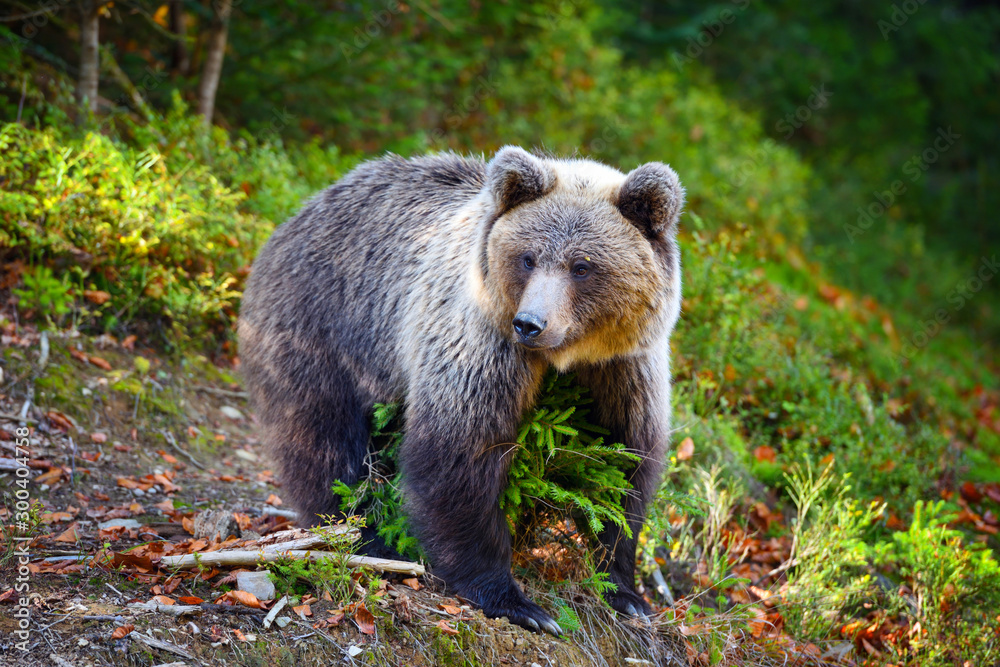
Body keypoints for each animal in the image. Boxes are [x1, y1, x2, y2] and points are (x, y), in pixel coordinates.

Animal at [237, 146, 684, 635]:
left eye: (582, 266)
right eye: (528, 258)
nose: (530, 324)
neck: (568, 355)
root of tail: (295, 217)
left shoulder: (623, 368)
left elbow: (623, 467)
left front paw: (626, 592)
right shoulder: (481, 340)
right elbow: (460, 453)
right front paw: (516, 601)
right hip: (323, 328)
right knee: (324, 442)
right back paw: (367, 536)